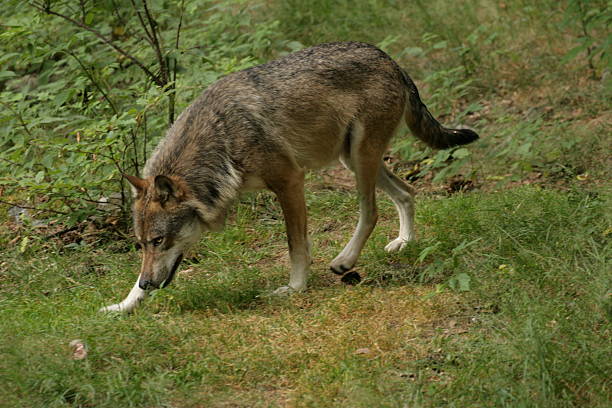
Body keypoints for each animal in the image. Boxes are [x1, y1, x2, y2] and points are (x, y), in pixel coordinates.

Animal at [100, 42, 478, 312]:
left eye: (158, 241)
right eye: (141, 244)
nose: (147, 284)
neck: (222, 138)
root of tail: (388, 58)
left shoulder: (290, 182)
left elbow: (295, 245)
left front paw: (295, 289)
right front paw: (123, 305)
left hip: (360, 160)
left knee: (370, 212)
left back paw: (345, 261)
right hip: (353, 160)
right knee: (407, 191)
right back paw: (404, 242)